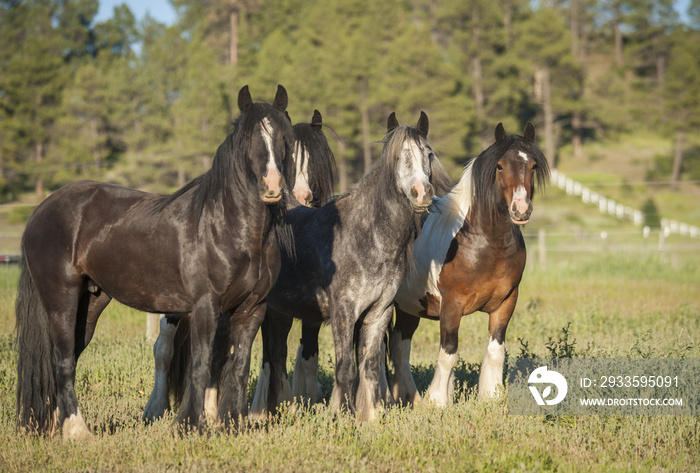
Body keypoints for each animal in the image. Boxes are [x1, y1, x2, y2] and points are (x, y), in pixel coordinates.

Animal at [15, 85, 296, 438]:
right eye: (248, 139)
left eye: (284, 138)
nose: (272, 186)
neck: (230, 226)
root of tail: (40, 211)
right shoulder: (206, 306)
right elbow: (201, 364)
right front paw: (191, 425)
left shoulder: (251, 310)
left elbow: (238, 365)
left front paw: (232, 424)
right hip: (61, 300)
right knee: (62, 360)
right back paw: (78, 432)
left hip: (89, 303)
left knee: (67, 359)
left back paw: (58, 426)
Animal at [142, 108, 336, 420]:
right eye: (288, 157)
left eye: (316, 162)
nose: (301, 198)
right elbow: (270, 354)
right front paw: (262, 409)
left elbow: (304, 355)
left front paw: (297, 403)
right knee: (164, 347)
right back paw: (157, 407)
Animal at [249, 111, 440, 420]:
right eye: (398, 157)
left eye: (429, 154)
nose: (421, 192)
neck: (367, 235)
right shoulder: (344, 312)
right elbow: (346, 368)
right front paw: (342, 415)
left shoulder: (378, 313)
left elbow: (370, 366)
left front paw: (370, 416)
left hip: (278, 313)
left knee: (275, 359)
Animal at [392, 121, 548, 406]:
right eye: (500, 166)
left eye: (532, 166)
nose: (521, 209)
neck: (483, 243)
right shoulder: (451, 306)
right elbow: (448, 352)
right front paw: (438, 401)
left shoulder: (507, 301)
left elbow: (496, 350)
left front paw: (491, 396)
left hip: (408, 308)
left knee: (399, 347)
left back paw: (409, 397)